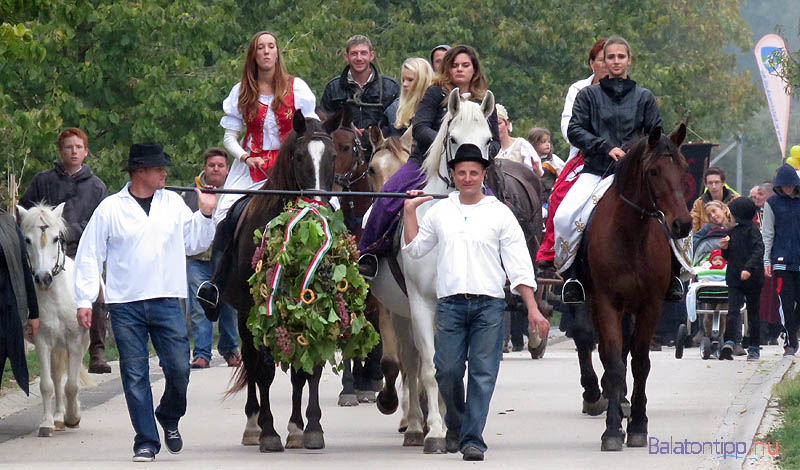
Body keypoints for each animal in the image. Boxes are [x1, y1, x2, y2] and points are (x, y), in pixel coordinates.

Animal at [16, 202, 90, 436]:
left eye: (57, 238)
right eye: (27, 240)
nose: (43, 278)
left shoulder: (75, 342)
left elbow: (72, 385)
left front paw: (73, 417)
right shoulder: (42, 342)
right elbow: (47, 385)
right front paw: (47, 423)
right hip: (56, 347)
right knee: (57, 378)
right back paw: (57, 417)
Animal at [223, 112, 340, 454]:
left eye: (333, 156)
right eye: (299, 157)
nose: (318, 205)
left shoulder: (316, 305)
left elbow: (308, 369)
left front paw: (307, 429)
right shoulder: (259, 308)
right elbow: (263, 368)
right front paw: (269, 432)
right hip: (243, 315)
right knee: (251, 360)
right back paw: (252, 425)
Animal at [368, 88, 494, 452]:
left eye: (488, 140)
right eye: (453, 138)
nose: (470, 175)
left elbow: (451, 367)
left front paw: (451, 426)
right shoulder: (421, 303)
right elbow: (429, 368)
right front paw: (436, 431)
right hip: (400, 311)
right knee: (411, 363)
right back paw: (414, 426)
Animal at [576, 125, 692, 452]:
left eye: (684, 169)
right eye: (653, 171)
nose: (682, 225)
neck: (631, 237)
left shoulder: (650, 305)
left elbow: (640, 362)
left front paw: (638, 425)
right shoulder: (606, 303)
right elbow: (614, 362)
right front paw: (613, 431)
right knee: (597, 346)